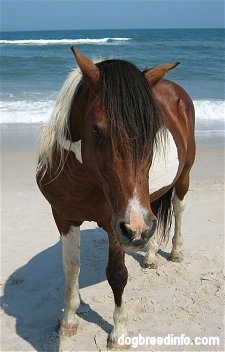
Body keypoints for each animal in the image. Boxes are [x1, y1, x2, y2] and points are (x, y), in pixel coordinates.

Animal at [36, 47, 195, 350]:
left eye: (153, 131)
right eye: (97, 129)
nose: (136, 227)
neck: (83, 180)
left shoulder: (116, 227)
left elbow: (118, 275)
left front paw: (119, 333)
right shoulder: (63, 217)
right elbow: (70, 267)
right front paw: (68, 321)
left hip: (182, 178)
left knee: (180, 210)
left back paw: (176, 252)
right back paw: (151, 256)